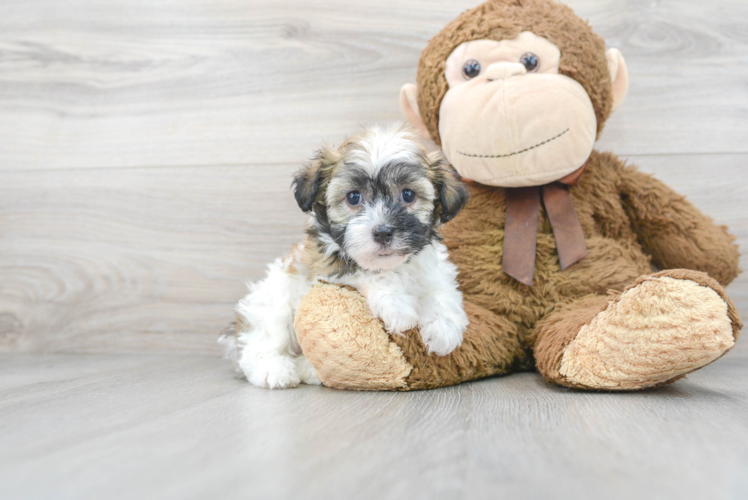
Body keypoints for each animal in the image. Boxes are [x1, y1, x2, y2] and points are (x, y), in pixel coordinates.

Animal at [231, 123, 470, 388]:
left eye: (408, 195)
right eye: (353, 197)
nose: (383, 232)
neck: (395, 265)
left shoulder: (432, 267)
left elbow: (441, 290)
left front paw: (444, 328)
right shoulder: (326, 269)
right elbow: (368, 274)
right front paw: (397, 307)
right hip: (273, 299)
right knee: (262, 339)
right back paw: (273, 370)